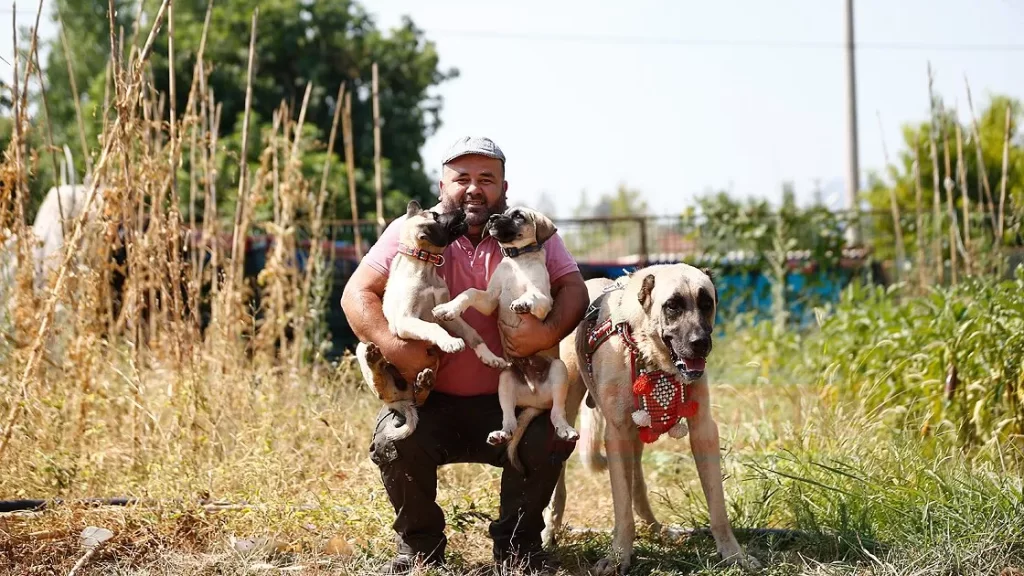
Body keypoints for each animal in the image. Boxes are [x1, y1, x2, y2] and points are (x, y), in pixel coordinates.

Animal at [356, 199, 507, 436]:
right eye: (436, 216)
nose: (462, 210)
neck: (424, 267)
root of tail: (402, 401)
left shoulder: (446, 315)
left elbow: (472, 332)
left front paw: (489, 357)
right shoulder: (405, 321)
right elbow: (433, 328)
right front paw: (451, 342)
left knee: (421, 398)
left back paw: (424, 382)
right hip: (363, 349)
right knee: (382, 387)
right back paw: (375, 360)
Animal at [430, 203, 577, 469]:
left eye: (518, 216)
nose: (492, 218)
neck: (517, 261)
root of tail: (534, 399)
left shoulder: (545, 301)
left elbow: (534, 296)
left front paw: (523, 302)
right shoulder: (490, 300)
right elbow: (469, 293)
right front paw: (449, 309)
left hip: (559, 371)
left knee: (556, 413)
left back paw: (566, 430)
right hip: (506, 380)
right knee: (510, 420)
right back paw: (501, 434)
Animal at [544, 264, 761, 569]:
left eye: (707, 303)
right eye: (673, 306)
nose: (700, 343)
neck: (651, 355)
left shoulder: (703, 431)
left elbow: (717, 507)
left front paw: (733, 554)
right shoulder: (617, 435)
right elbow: (622, 509)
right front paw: (619, 556)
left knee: (638, 483)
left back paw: (655, 528)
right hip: (569, 413)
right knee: (561, 481)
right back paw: (550, 529)